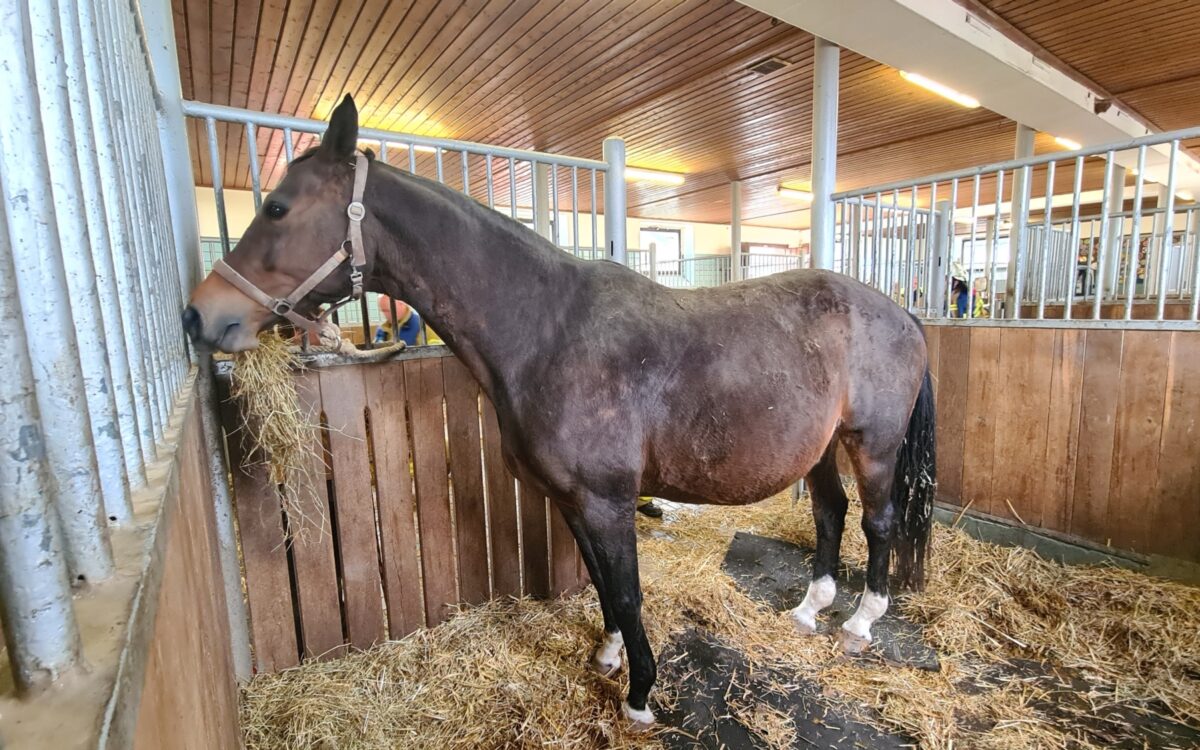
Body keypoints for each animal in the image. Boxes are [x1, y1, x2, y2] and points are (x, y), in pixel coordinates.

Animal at [183, 95, 937, 729]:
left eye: (277, 209)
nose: (200, 315)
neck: (547, 330)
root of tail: (897, 311)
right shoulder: (573, 501)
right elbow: (602, 587)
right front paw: (607, 655)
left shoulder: (608, 501)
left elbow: (628, 593)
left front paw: (639, 696)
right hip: (821, 448)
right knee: (830, 513)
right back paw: (811, 608)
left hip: (871, 444)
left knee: (877, 523)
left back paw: (861, 622)